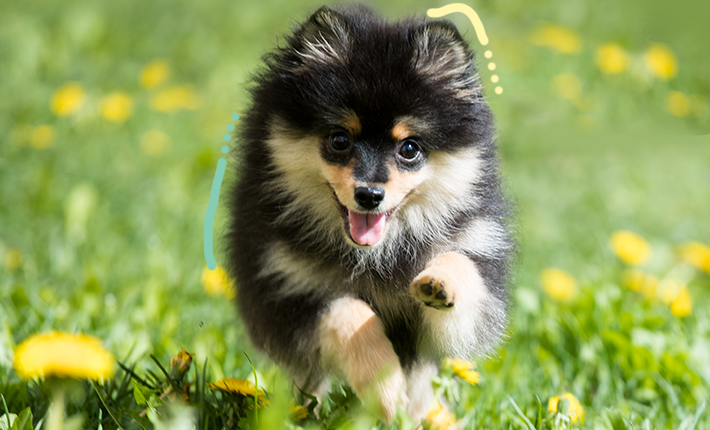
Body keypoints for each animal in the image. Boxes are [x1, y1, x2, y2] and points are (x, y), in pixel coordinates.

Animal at [227, 2, 512, 420]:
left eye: (409, 148)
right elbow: (348, 312)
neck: (376, 255)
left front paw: (439, 281)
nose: (369, 195)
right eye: (339, 140)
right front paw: (385, 391)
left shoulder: (472, 265)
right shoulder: (283, 288)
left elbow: (463, 270)